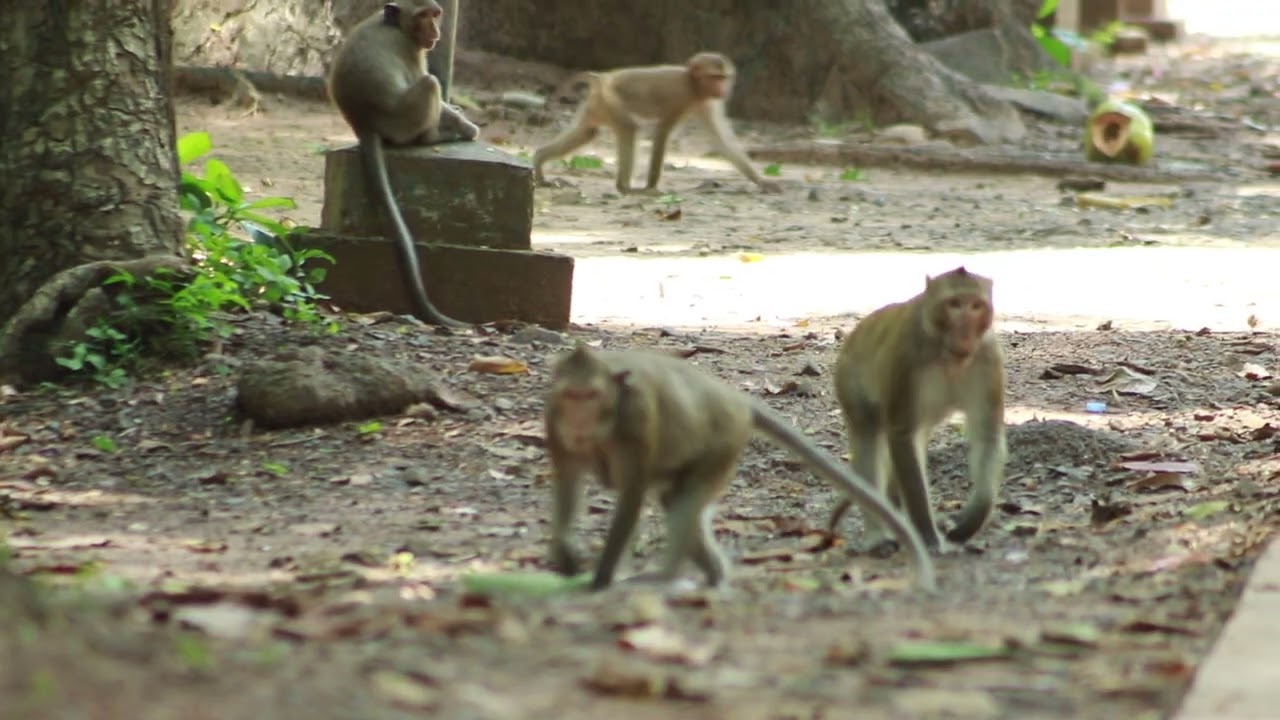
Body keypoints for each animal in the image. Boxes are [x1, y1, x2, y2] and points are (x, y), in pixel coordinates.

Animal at [328, 1, 480, 328]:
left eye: (435, 14)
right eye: (422, 15)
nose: (434, 30)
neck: (397, 25)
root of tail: (364, 123)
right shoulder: (412, 50)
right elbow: (426, 82)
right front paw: (465, 125)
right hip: (404, 120)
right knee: (429, 84)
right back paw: (435, 136)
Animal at [533, 52, 783, 195]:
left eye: (723, 78)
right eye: (714, 77)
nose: (723, 89)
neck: (693, 84)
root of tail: (603, 78)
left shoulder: (706, 103)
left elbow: (721, 141)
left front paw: (761, 181)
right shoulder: (681, 97)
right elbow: (662, 133)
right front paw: (651, 187)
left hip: (598, 105)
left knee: (587, 133)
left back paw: (539, 159)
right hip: (611, 99)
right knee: (629, 129)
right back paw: (625, 188)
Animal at [543, 345, 936, 593]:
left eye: (590, 396)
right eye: (570, 396)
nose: (578, 421)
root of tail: (734, 399)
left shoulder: (636, 422)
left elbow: (631, 496)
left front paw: (600, 579)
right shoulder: (553, 418)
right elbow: (567, 480)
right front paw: (563, 551)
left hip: (723, 444)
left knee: (682, 505)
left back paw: (667, 577)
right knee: (677, 502)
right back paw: (713, 575)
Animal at [827, 267, 1007, 555]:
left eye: (976, 306)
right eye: (954, 304)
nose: (965, 333)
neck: (947, 356)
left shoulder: (989, 358)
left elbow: (988, 436)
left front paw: (972, 519)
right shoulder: (907, 355)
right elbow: (901, 435)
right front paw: (928, 536)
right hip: (849, 379)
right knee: (870, 437)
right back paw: (878, 535)